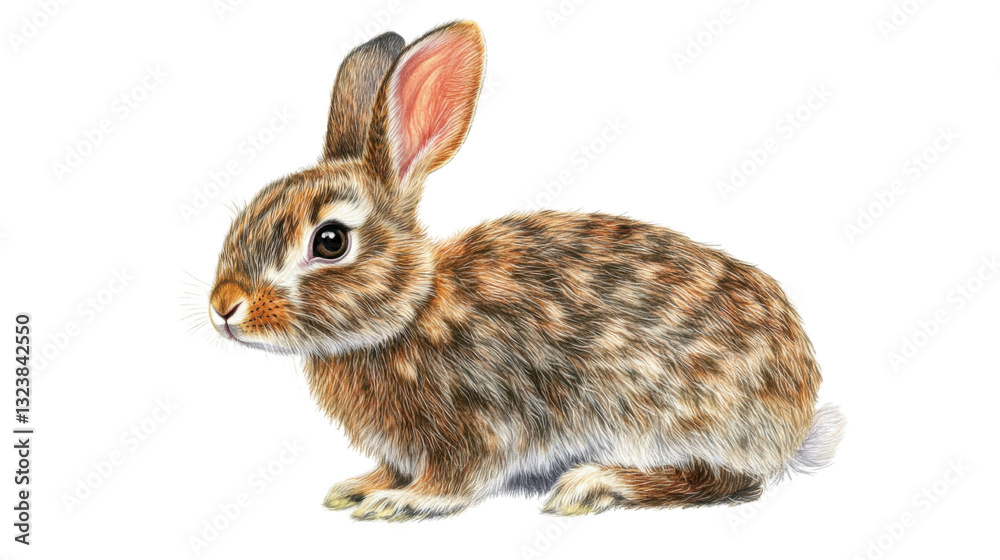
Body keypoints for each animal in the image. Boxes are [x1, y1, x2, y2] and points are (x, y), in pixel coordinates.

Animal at [208, 21, 846, 521]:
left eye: (330, 241)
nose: (224, 308)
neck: (411, 311)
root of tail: (798, 412)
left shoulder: (477, 424)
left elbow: (457, 479)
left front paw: (402, 501)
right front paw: (359, 487)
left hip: (668, 417)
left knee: (723, 480)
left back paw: (595, 484)